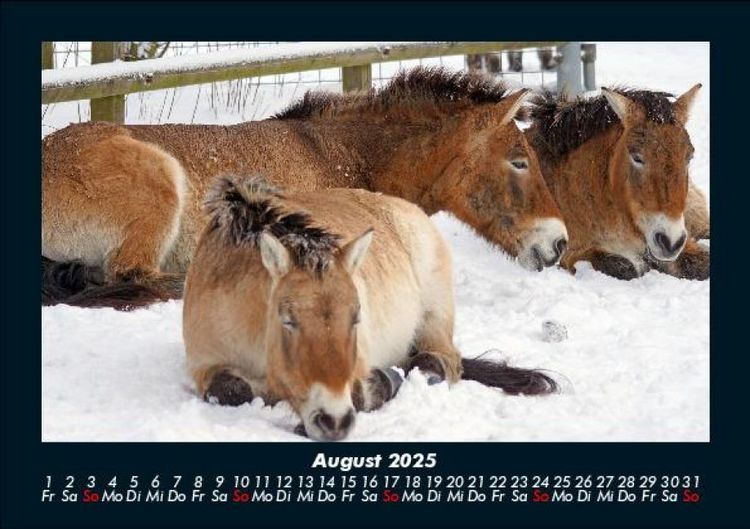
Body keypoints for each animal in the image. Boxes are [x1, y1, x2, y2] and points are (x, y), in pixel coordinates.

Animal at [183, 174, 557, 441]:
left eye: (356, 317)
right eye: (287, 320)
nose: (332, 420)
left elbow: (362, 393)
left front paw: (382, 383)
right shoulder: (205, 365)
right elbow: (230, 389)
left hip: (434, 315)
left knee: (438, 361)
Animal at [524, 85, 710, 280]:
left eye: (689, 157)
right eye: (637, 157)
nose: (670, 242)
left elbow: (702, 263)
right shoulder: (570, 253)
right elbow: (624, 267)